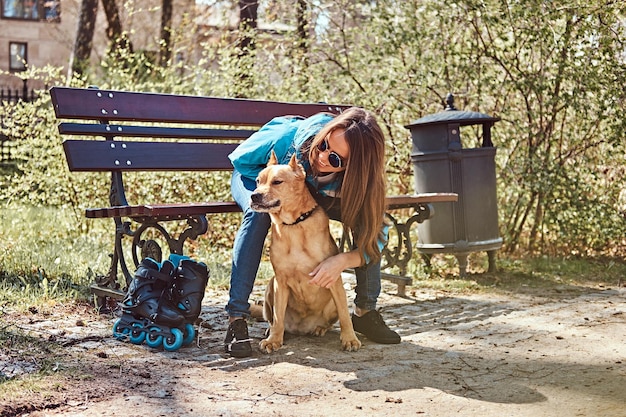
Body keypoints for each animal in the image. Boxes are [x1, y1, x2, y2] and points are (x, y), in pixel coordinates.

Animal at [250, 150, 360, 352]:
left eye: (277, 182)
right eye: (258, 181)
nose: (254, 196)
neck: (294, 225)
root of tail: (301, 329)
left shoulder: (333, 278)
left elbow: (345, 315)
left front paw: (350, 338)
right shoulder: (280, 282)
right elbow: (277, 316)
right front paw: (274, 340)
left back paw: (320, 328)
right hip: (270, 288)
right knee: (273, 319)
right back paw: (272, 331)